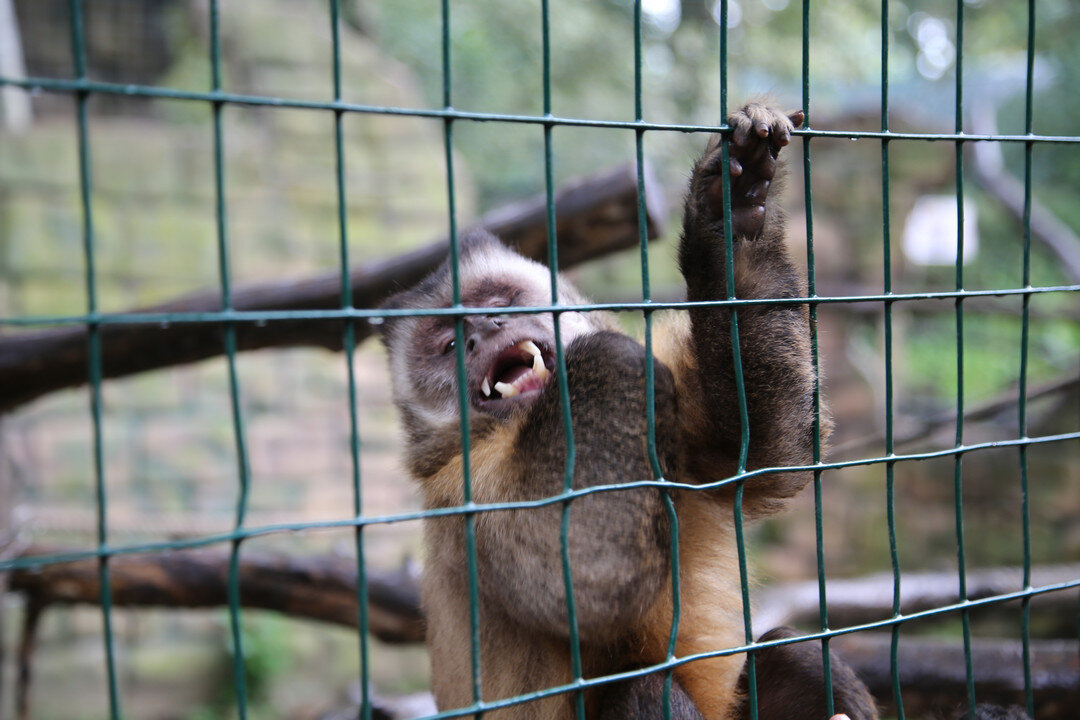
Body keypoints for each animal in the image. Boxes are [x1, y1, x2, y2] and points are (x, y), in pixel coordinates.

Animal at [378, 102, 876, 720]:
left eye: (498, 304)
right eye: (449, 345)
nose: (481, 334)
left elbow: (760, 457)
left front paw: (730, 211)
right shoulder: (460, 487)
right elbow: (587, 589)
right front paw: (601, 358)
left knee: (797, 654)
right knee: (641, 688)